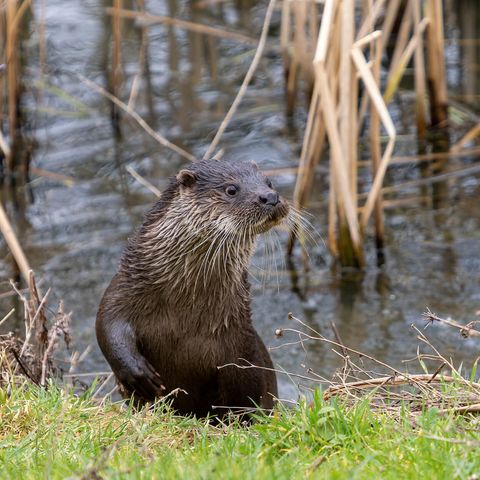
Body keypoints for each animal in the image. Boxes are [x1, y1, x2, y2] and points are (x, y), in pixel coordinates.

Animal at [95, 159, 286, 418]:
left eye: (269, 182)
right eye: (231, 189)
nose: (270, 197)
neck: (186, 309)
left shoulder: (240, 336)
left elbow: (247, 385)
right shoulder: (123, 287)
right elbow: (107, 327)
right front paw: (138, 374)